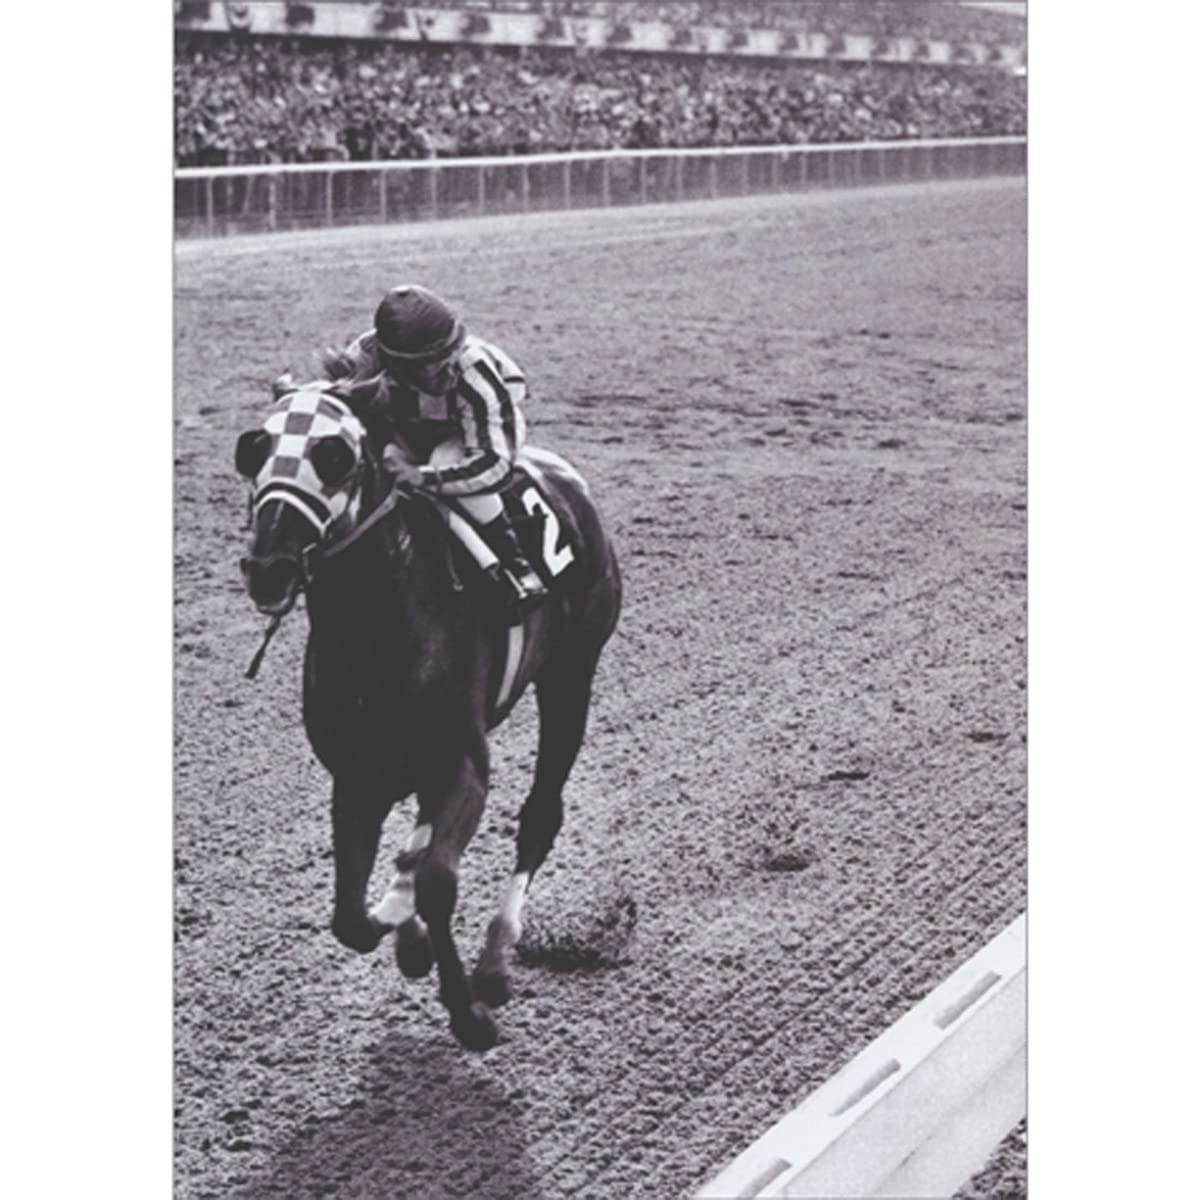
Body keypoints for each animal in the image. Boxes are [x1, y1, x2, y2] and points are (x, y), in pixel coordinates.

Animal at [237, 384, 624, 1051]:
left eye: (335, 455)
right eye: (255, 449)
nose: (270, 566)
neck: (379, 624)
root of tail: (566, 477)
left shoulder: (463, 762)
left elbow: (441, 882)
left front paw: (469, 1012)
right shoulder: (357, 777)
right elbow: (349, 917)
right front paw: (403, 928)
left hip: (571, 675)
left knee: (540, 816)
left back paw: (494, 960)